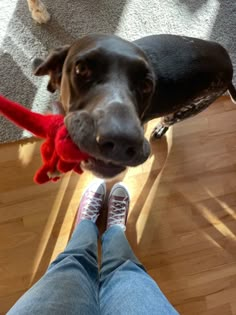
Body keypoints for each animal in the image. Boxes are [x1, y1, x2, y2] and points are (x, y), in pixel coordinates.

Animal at [33, 34, 236, 179]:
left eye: (146, 85)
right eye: (82, 69)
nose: (121, 141)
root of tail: (228, 63)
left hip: (186, 110)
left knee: (168, 120)